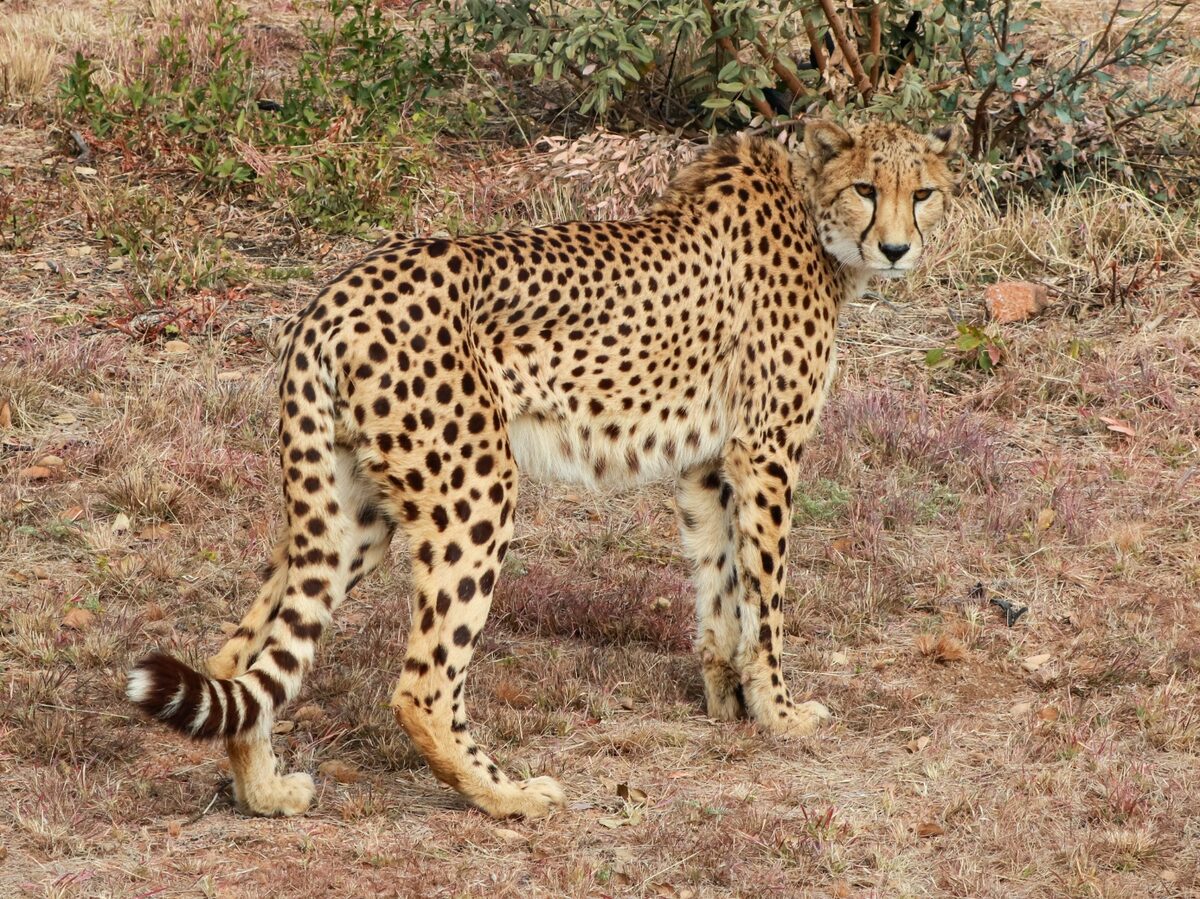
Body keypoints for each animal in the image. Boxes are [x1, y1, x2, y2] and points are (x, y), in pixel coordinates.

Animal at [127, 117, 958, 820]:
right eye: (866, 189)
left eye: (922, 193)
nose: (897, 249)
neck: (810, 208)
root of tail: (334, 296)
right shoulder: (766, 450)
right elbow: (767, 598)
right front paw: (781, 713)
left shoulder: (706, 464)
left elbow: (718, 583)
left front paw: (727, 701)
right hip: (474, 491)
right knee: (423, 684)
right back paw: (510, 796)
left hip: (350, 512)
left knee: (241, 652)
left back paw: (264, 790)